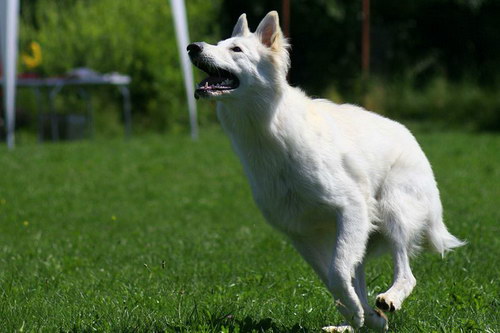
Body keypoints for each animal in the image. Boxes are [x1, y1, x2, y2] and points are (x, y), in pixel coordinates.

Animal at [188, 11, 464, 330]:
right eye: (218, 43)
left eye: (236, 49)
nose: (192, 47)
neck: (269, 132)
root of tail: (411, 137)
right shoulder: (301, 234)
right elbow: (333, 281)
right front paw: (359, 315)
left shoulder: (350, 209)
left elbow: (337, 273)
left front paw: (363, 313)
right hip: (360, 233)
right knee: (361, 278)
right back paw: (357, 323)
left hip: (392, 212)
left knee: (406, 273)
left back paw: (389, 299)